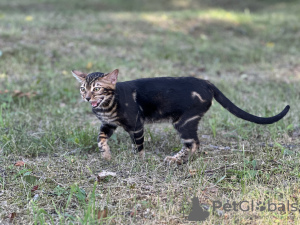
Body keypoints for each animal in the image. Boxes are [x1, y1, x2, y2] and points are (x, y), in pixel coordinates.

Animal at [71, 69, 290, 164]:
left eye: (97, 89)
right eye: (83, 88)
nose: (87, 97)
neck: (108, 105)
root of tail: (206, 82)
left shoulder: (137, 125)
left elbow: (138, 147)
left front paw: (138, 162)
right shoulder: (108, 125)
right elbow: (100, 140)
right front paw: (106, 156)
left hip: (183, 121)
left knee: (194, 143)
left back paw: (176, 160)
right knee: (195, 143)